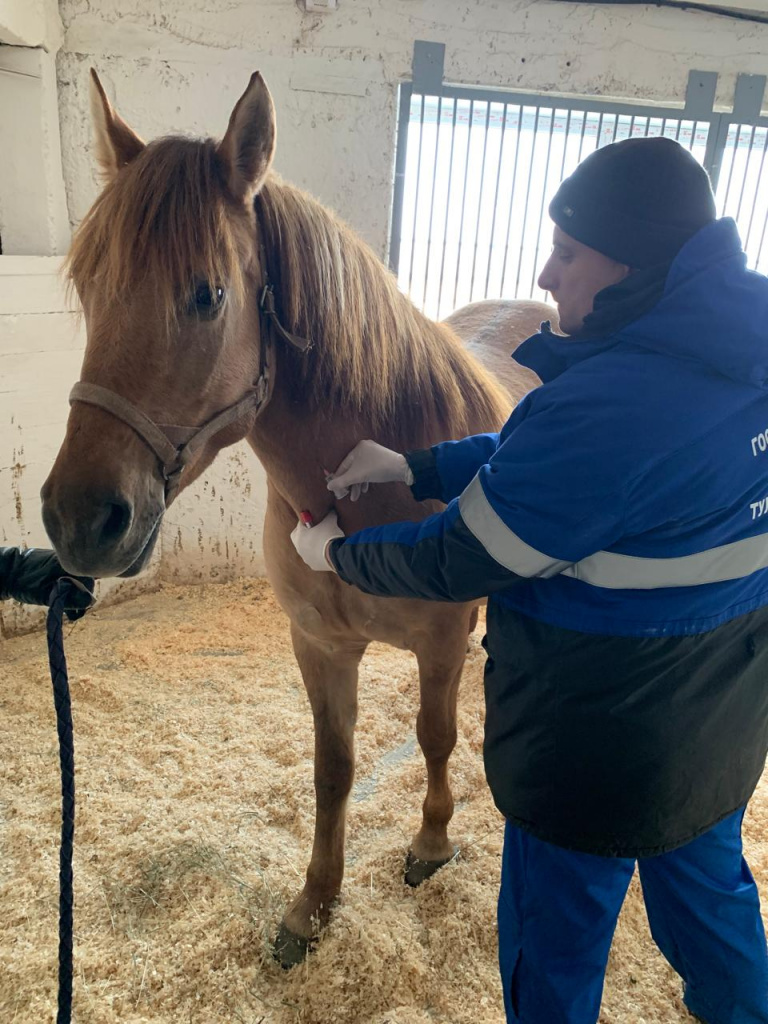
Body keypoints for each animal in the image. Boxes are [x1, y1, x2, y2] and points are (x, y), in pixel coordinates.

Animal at [41, 70, 556, 966]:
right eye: (88, 285)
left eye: (208, 295)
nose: (79, 518)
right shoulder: (319, 645)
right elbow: (332, 770)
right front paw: (313, 905)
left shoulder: (439, 644)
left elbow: (434, 737)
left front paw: (430, 843)